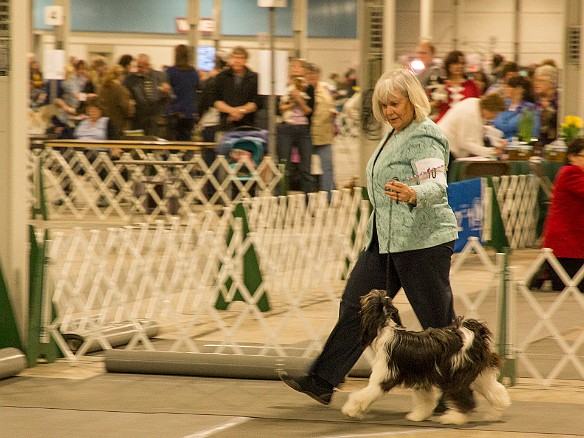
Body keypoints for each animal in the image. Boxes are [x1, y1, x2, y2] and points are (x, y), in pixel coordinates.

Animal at [342, 290, 512, 426]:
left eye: (369, 298)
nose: (360, 297)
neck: (384, 330)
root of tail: (472, 333)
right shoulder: (422, 378)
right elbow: (425, 400)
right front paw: (418, 416)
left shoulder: (384, 377)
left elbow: (365, 395)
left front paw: (350, 410)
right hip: (479, 374)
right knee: (496, 391)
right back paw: (496, 412)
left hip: (456, 376)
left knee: (462, 397)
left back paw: (454, 418)